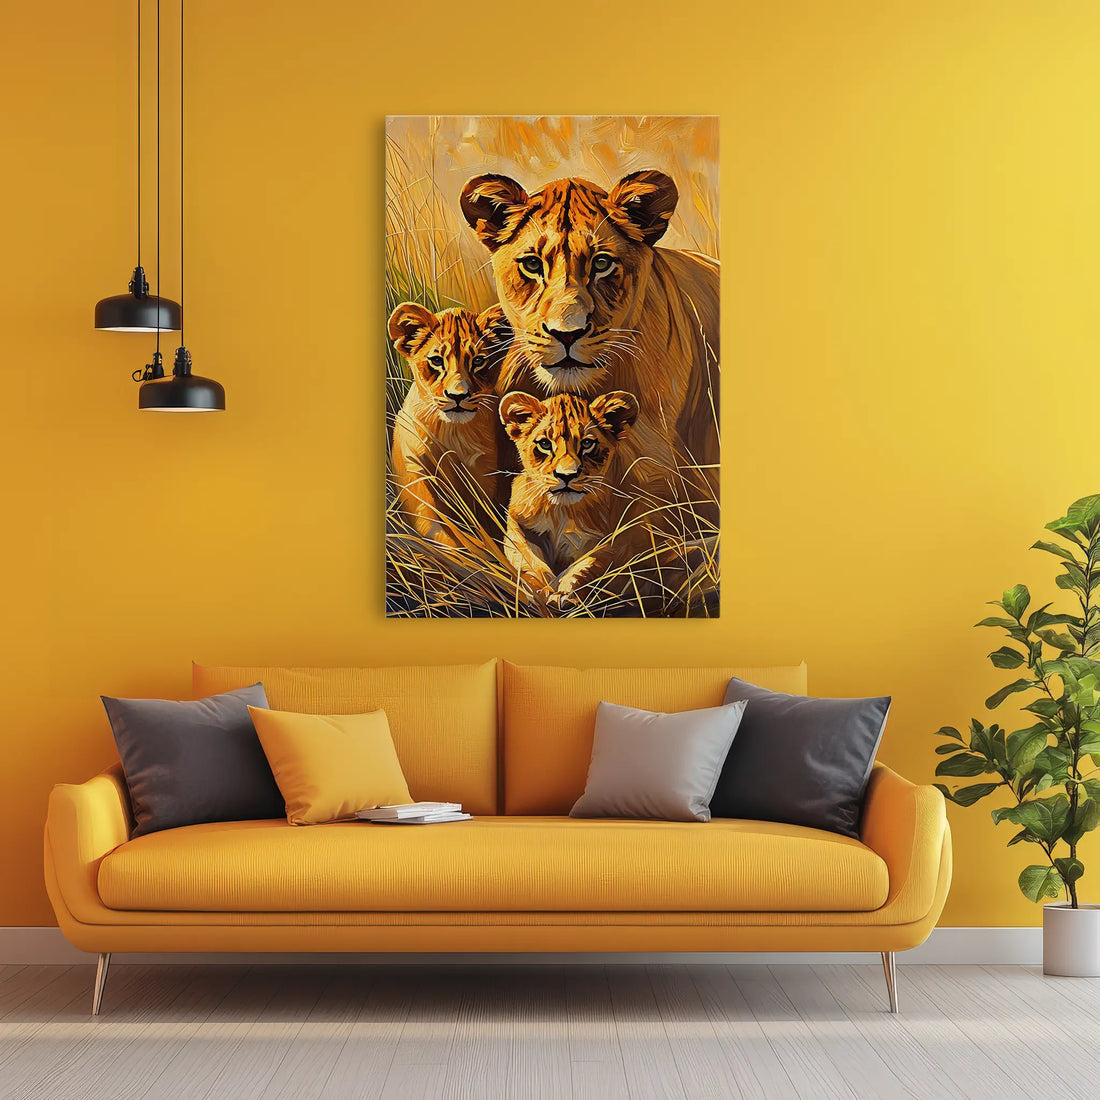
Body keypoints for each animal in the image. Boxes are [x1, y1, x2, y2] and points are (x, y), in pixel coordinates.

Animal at [388, 302, 512, 548]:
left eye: (478, 361)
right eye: (436, 360)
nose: (458, 395)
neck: (454, 434)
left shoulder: (487, 482)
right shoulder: (418, 484)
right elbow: (444, 537)